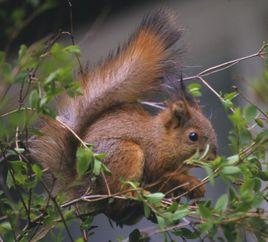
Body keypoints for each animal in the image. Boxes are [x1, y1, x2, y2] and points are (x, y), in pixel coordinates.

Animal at [29, 10, 218, 223]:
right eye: (192, 136)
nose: (214, 155)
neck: (162, 139)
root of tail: (86, 185)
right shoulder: (154, 162)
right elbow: (165, 177)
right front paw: (192, 183)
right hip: (125, 155)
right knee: (120, 193)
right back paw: (137, 196)